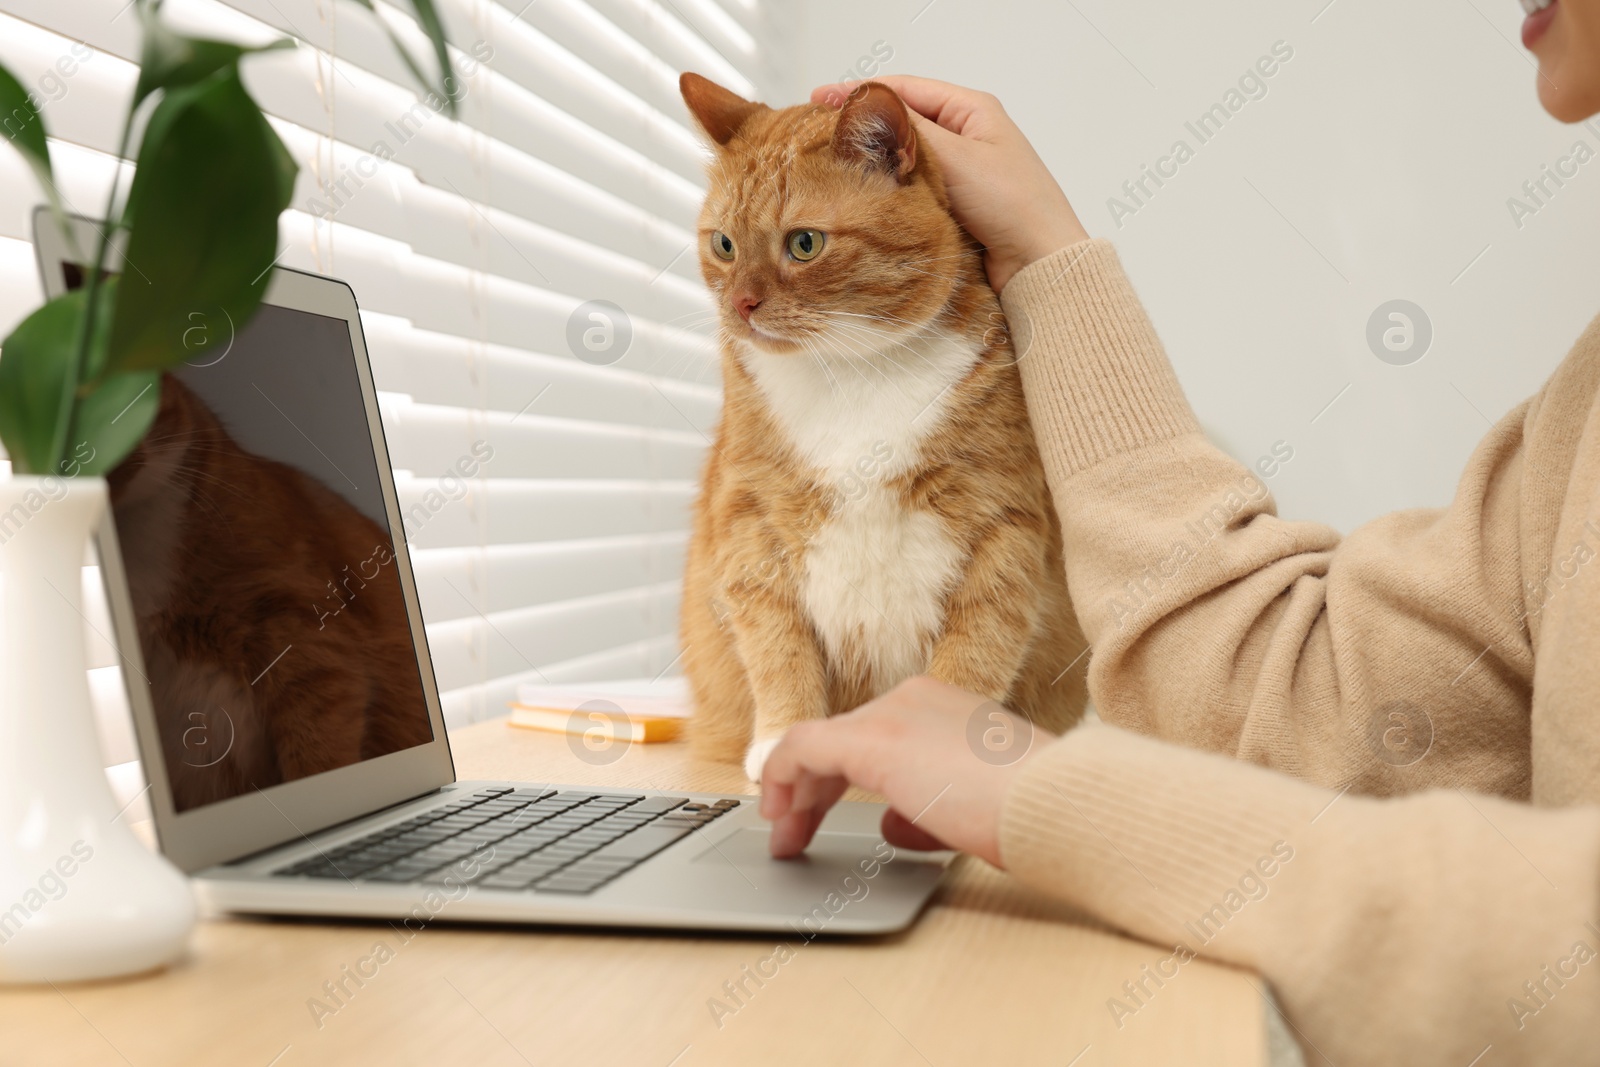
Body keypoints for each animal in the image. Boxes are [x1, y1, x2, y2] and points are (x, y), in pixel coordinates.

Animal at [675, 70, 1088, 780]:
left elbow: (976, 653)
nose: (740, 305)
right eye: (723, 244)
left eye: (804, 243)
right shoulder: (748, 521)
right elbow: (777, 647)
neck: (852, 371)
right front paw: (784, 740)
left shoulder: (1003, 523)